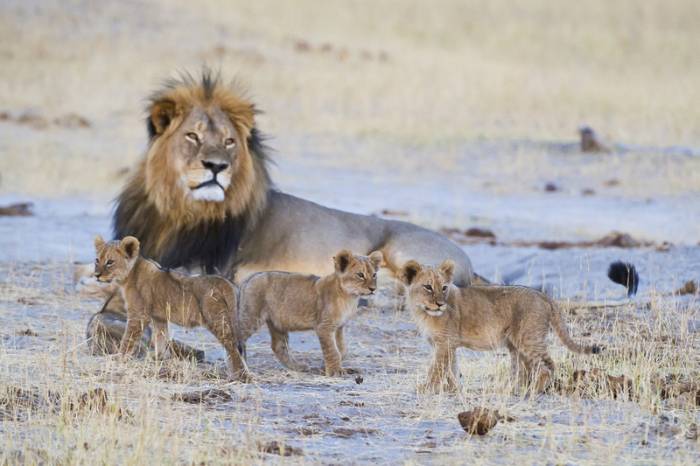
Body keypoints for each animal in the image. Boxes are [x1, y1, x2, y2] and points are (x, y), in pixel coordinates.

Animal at [84, 70, 481, 348]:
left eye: (229, 141)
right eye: (192, 136)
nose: (216, 166)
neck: (180, 211)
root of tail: (469, 261)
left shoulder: (208, 268)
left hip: (400, 250)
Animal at [93, 235, 251, 382]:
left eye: (110, 262)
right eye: (97, 260)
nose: (96, 275)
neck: (129, 275)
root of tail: (225, 282)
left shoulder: (138, 315)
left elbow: (128, 339)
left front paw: (118, 358)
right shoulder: (159, 318)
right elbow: (161, 338)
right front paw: (159, 359)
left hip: (217, 320)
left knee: (232, 347)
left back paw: (242, 376)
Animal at [237, 250, 382, 376]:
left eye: (374, 274)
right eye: (360, 275)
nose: (373, 289)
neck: (349, 297)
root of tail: (248, 279)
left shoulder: (339, 327)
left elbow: (342, 349)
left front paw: (332, 367)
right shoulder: (324, 327)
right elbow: (333, 350)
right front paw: (335, 371)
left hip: (277, 323)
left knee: (278, 347)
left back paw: (300, 367)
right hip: (252, 316)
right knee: (237, 337)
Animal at [400, 259, 602, 393]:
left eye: (443, 287)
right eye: (428, 287)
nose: (441, 304)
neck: (423, 311)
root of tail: (543, 295)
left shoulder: (445, 343)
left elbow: (436, 368)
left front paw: (426, 388)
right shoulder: (446, 345)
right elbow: (451, 368)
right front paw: (453, 389)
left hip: (528, 338)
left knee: (547, 366)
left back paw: (533, 391)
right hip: (516, 345)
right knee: (525, 369)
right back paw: (513, 389)